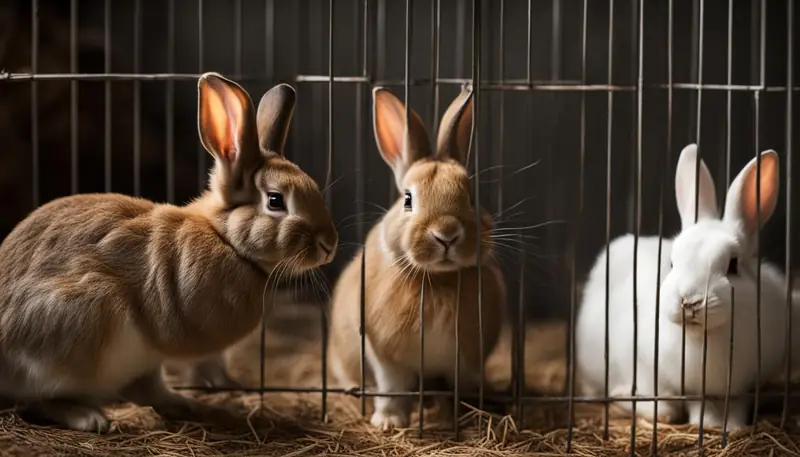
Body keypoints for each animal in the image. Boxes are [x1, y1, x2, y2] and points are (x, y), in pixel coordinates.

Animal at [0, 72, 338, 432]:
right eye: (275, 201)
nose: (329, 244)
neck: (226, 239)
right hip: (79, 328)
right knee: (38, 399)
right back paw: (89, 418)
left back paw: (185, 405)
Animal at [328, 85, 506, 431]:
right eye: (408, 199)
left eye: (471, 196)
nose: (446, 234)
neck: (437, 280)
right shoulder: (386, 356)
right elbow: (393, 389)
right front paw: (388, 423)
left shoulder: (466, 363)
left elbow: (458, 391)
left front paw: (459, 420)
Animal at [576, 143, 789, 430]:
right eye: (671, 262)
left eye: (733, 265)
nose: (690, 301)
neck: (702, 339)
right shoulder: (648, 369)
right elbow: (676, 405)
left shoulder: (742, 389)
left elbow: (735, 407)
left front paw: (730, 427)